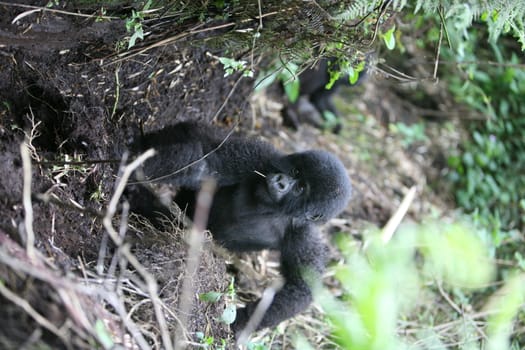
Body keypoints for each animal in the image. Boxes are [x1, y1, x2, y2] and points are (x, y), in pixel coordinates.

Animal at [130, 121, 352, 332]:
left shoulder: (302, 236)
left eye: (300, 188)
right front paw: (134, 163)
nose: (281, 181)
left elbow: (299, 288)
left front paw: (241, 322)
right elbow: (204, 162)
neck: (273, 209)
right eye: (296, 171)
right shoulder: (262, 158)